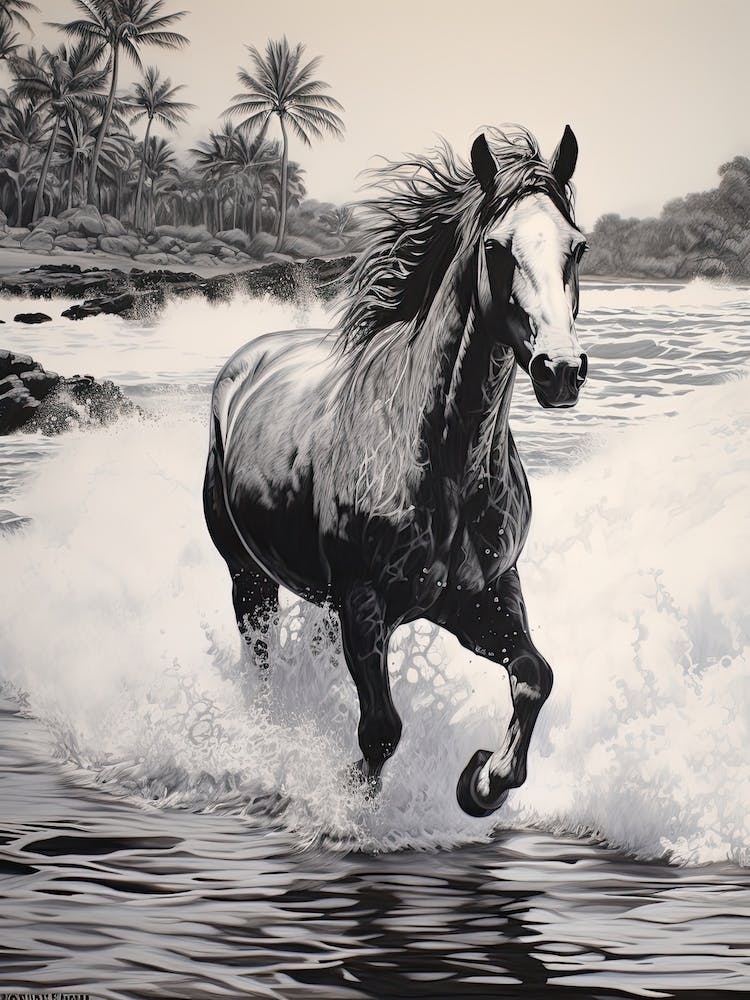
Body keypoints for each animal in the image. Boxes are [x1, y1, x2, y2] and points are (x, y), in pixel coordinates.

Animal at [203, 124, 588, 817]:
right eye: (496, 246)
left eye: (578, 246)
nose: (560, 370)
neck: (446, 464)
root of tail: (244, 365)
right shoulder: (365, 601)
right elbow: (381, 730)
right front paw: (349, 804)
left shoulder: (484, 597)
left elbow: (533, 677)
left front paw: (483, 781)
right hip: (248, 576)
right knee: (261, 661)